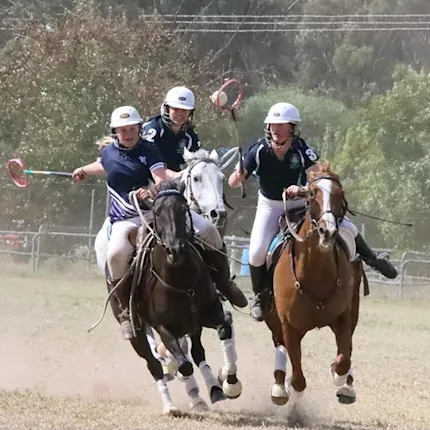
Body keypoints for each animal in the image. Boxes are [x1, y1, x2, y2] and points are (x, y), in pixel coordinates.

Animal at [262, 162, 365, 406]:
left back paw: (347, 385)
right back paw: (279, 386)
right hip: (273, 319)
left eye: (340, 194)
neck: (316, 275)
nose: (328, 231)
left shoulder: (343, 316)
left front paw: (340, 376)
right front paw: (290, 388)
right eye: (311, 194)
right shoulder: (288, 325)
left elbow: (344, 358)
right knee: (279, 344)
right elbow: (298, 377)